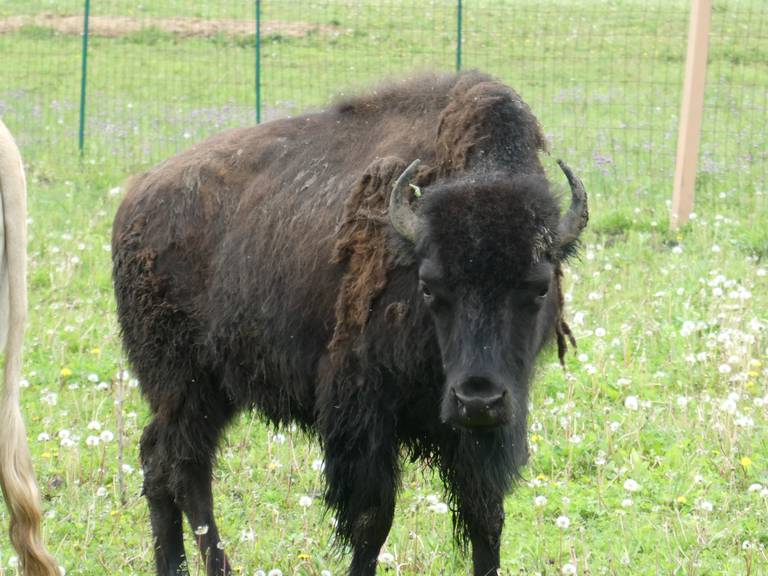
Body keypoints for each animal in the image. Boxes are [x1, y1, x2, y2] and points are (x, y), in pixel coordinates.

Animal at [111, 72, 588, 576]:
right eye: (429, 285)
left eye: (539, 286)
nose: (478, 398)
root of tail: (133, 202)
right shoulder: (361, 416)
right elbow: (371, 520)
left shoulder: (485, 434)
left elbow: (486, 518)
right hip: (184, 385)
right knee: (181, 468)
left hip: (211, 391)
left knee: (163, 463)